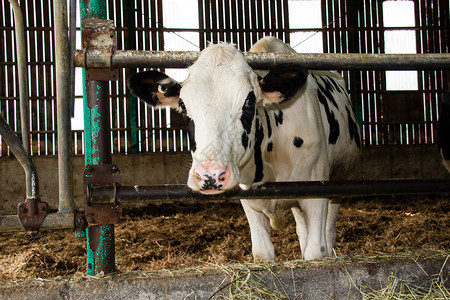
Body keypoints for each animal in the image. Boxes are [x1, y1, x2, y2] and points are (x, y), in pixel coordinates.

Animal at [128, 37, 360, 260]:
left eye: (249, 102)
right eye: (184, 105)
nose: (210, 176)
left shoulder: (317, 191)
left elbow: (316, 252)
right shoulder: (249, 198)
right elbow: (262, 253)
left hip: (340, 180)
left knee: (328, 231)